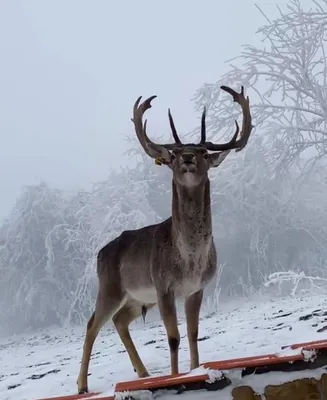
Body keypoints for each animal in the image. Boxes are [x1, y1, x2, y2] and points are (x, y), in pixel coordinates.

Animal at [77, 85, 254, 394]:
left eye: (204, 152)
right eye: (173, 155)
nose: (187, 157)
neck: (190, 259)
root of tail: (99, 253)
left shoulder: (196, 288)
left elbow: (193, 333)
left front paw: (195, 370)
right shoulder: (163, 286)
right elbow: (173, 337)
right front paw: (174, 378)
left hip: (136, 298)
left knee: (119, 321)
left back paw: (143, 372)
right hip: (110, 286)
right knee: (91, 324)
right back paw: (82, 387)